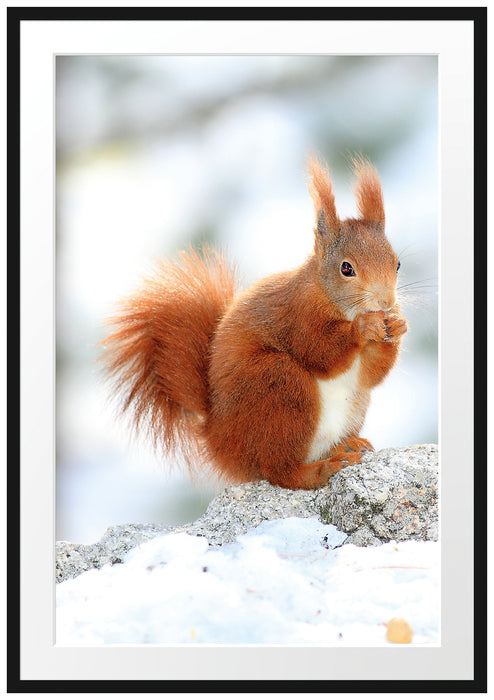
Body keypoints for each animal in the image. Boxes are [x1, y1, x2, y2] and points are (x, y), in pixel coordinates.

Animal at [101, 156, 408, 490]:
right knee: (280, 471)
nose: (386, 302)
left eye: (397, 263)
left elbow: (370, 376)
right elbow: (320, 352)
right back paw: (322, 469)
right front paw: (362, 329)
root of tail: (218, 440)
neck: (333, 299)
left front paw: (398, 325)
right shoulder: (297, 315)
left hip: (349, 405)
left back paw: (346, 445)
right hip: (278, 386)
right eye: (346, 268)